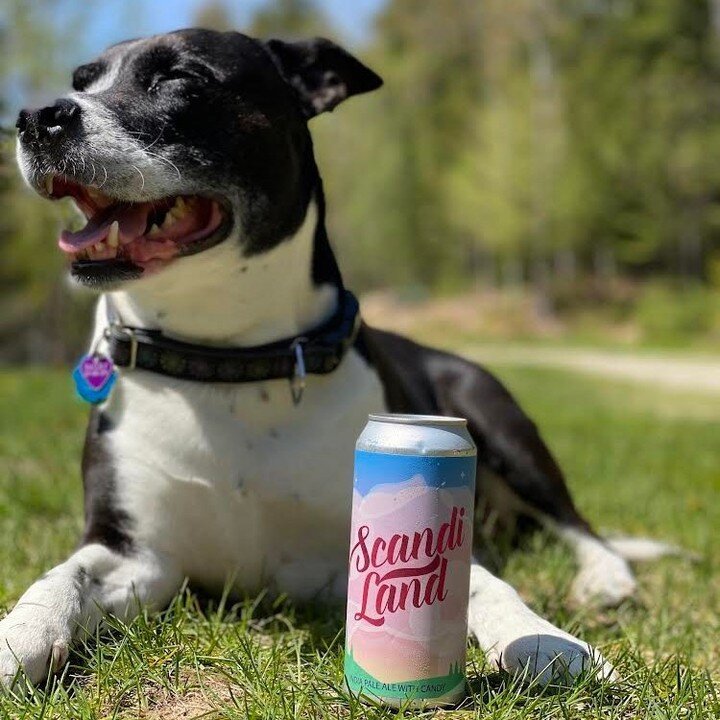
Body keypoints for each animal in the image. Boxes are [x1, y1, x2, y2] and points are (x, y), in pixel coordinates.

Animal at [4, 29, 660, 692]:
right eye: (82, 80)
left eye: (179, 78)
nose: (37, 117)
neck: (229, 359)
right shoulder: (135, 554)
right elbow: (61, 577)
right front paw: (17, 637)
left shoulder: (358, 548)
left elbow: (481, 583)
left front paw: (550, 644)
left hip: (501, 421)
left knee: (578, 524)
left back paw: (605, 577)